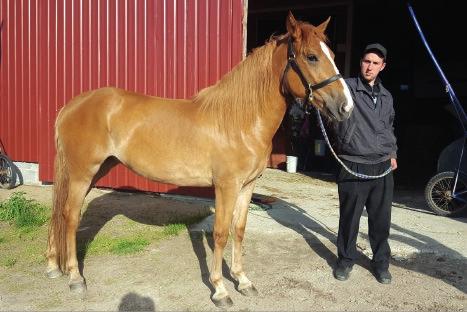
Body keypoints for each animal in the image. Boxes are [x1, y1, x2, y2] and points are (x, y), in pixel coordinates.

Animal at [48, 12, 354, 308]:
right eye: (311, 56)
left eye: (332, 54)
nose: (346, 107)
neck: (239, 120)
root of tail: (71, 105)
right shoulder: (226, 187)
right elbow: (220, 233)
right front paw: (220, 289)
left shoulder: (247, 186)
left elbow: (239, 230)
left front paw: (243, 281)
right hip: (82, 172)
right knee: (70, 216)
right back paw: (75, 278)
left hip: (96, 170)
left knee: (60, 212)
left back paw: (53, 266)